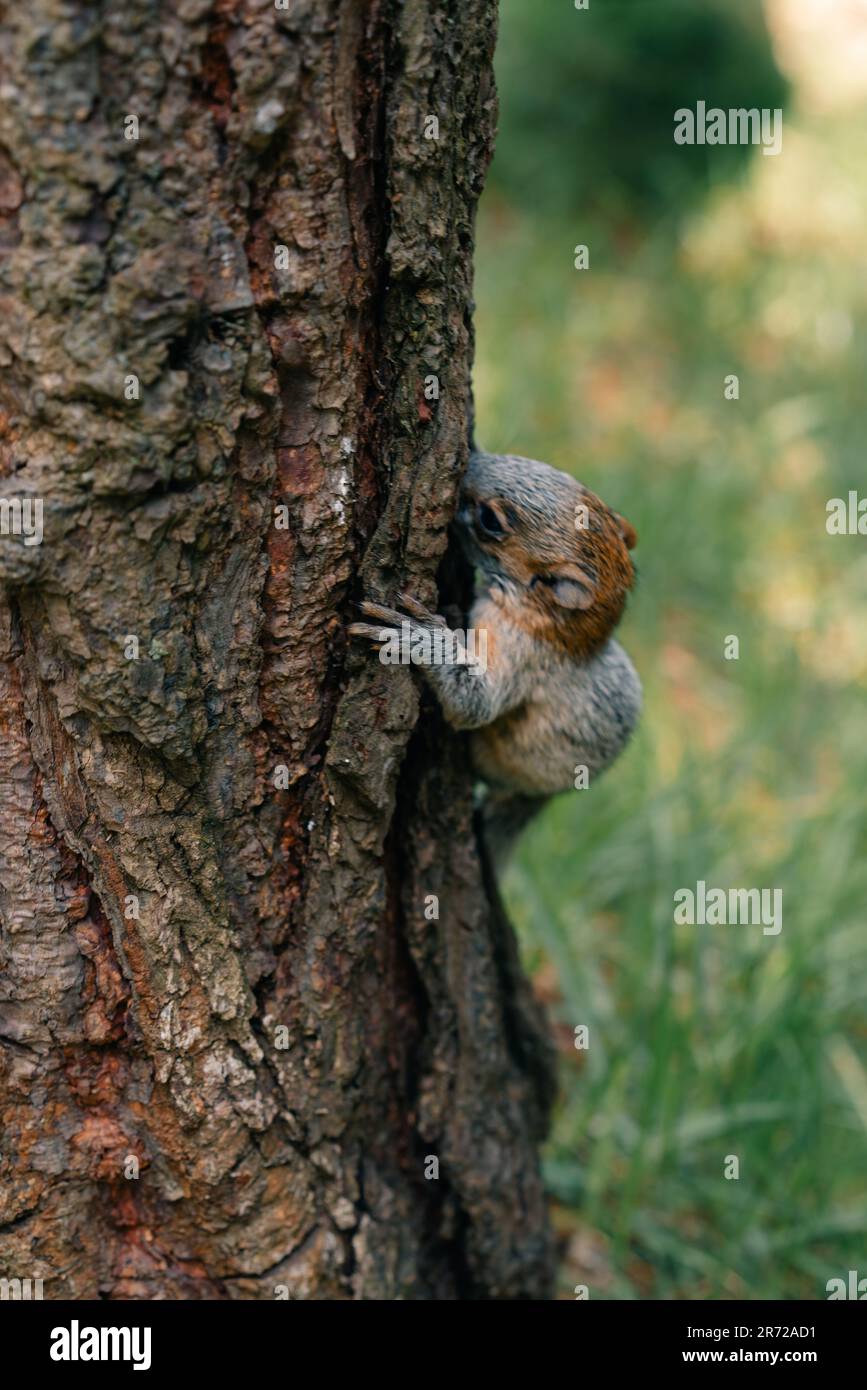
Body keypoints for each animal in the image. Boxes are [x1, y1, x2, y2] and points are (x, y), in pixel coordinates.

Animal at [348, 449, 642, 859]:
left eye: (491, 520)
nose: (469, 459)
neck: (568, 627)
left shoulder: (524, 651)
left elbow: (477, 703)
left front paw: (420, 636)